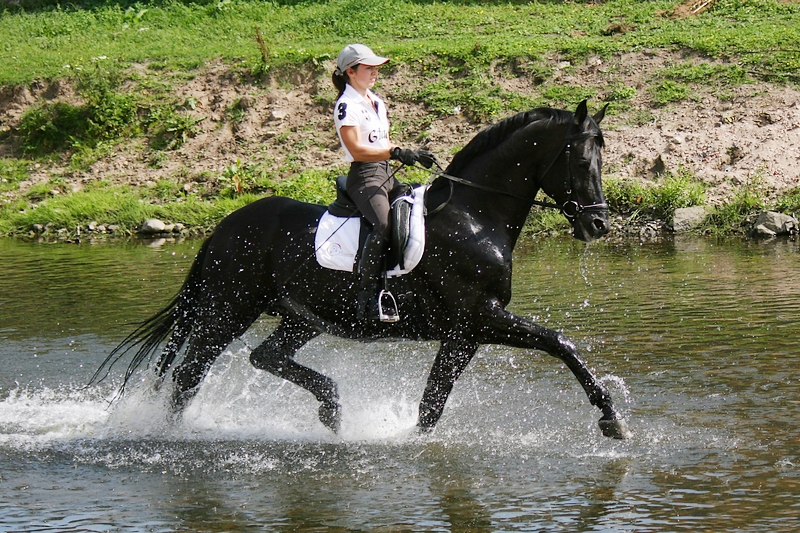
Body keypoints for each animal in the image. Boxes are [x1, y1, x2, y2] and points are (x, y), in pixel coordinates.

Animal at [92, 102, 632, 438]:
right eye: (581, 158)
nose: (598, 223)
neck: (475, 215)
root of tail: (225, 227)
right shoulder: (478, 319)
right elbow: (560, 343)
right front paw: (611, 419)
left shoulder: (467, 333)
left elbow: (434, 402)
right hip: (229, 310)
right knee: (189, 374)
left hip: (301, 317)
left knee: (264, 357)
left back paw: (331, 408)